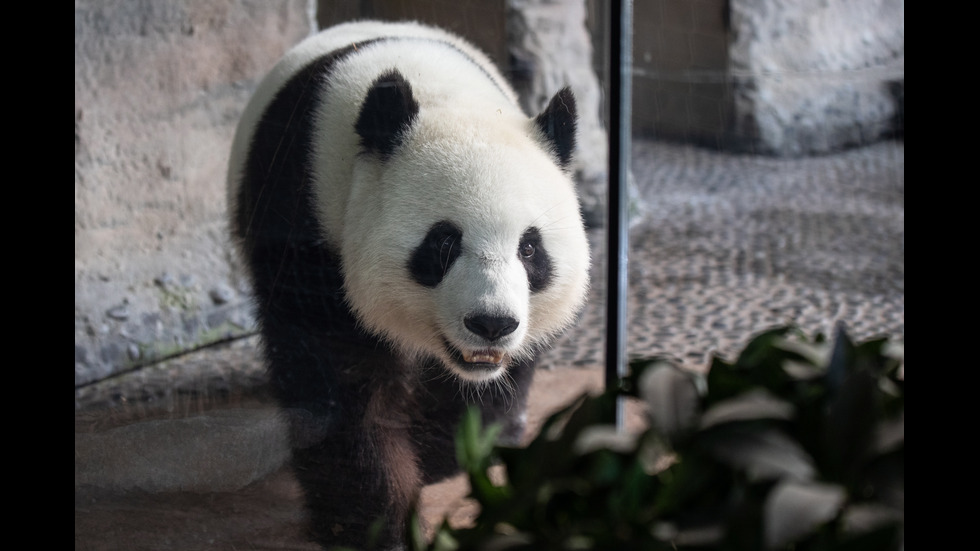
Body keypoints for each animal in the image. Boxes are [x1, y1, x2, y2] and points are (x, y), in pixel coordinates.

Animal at [230, 19, 588, 548]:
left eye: (529, 249)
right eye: (443, 244)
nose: (492, 324)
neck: (444, 95)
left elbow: (483, 388)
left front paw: (443, 453)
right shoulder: (306, 218)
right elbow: (342, 384)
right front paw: (373, 522)